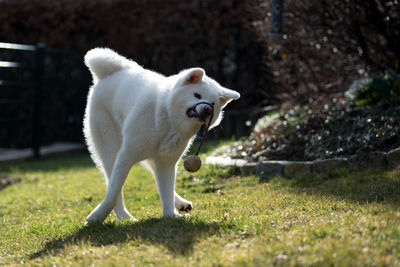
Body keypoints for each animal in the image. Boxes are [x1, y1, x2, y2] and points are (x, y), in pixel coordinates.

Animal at [83, 47, 239, 223]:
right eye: (197, 95)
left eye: (213, 104)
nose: (207, 109)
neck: (169, 121)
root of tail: (110, 72)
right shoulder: (126, 156)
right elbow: (113, 192)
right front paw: (98, 216)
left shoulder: (166, 162)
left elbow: (166, 190)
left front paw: (171, 214)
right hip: (111, 151)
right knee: (114, 184)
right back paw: (124, 216)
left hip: (149, 157)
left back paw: (180, 203)